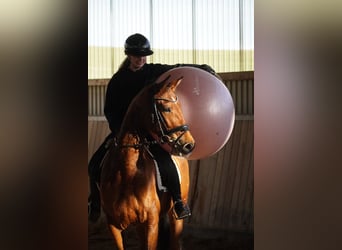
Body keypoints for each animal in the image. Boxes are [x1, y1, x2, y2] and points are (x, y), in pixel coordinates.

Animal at [99, 75, 195, 249]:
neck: (126, 171)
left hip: (175, 215)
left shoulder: (151, 224)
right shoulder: (114, 226)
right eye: (166, 109)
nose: (189, 145)